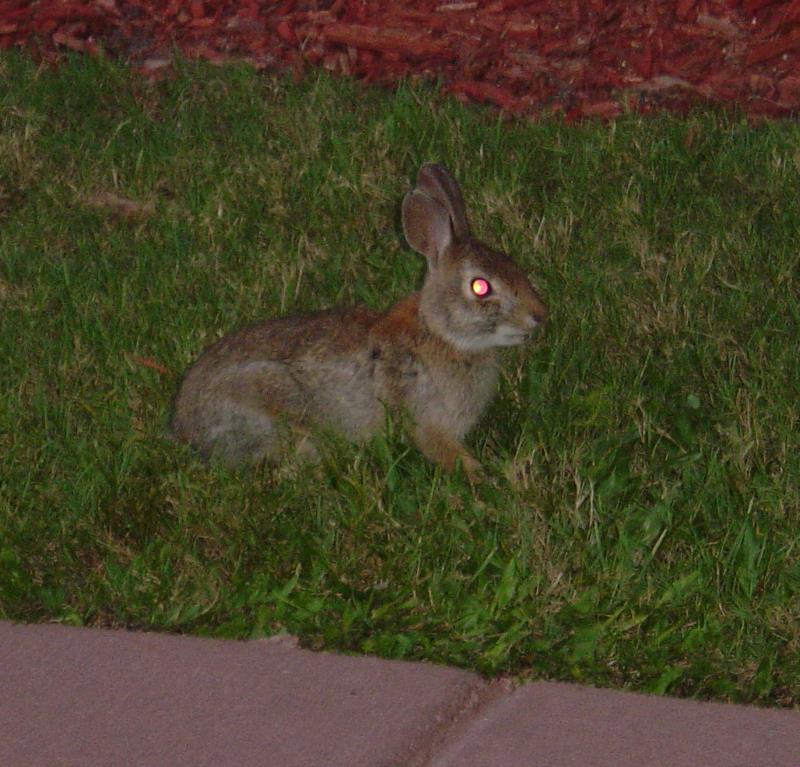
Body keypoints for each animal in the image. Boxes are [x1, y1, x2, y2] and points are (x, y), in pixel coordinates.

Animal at [170, 163, 547, 480]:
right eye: (481, 287)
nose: (539, 315)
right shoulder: (425, 420)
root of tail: (184, 421)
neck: (439, 333)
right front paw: (481, 476)